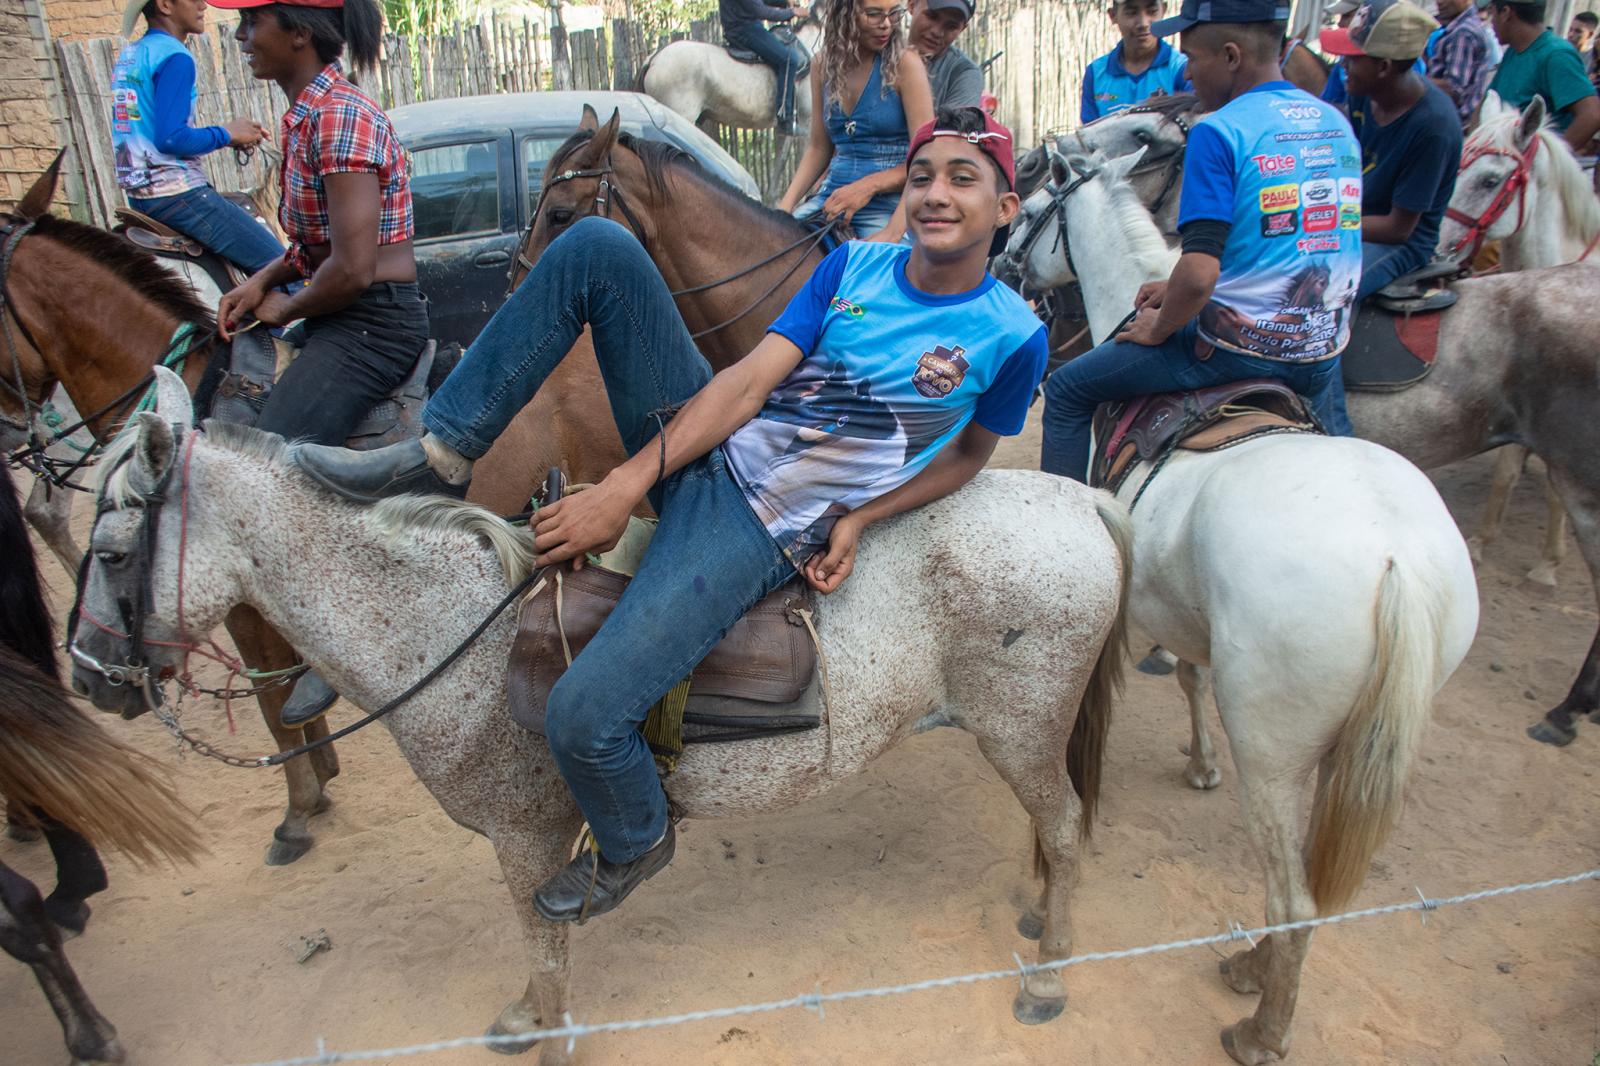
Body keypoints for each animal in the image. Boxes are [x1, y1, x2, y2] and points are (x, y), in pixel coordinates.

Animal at [68, 369, 1132, 1056]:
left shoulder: (528, 842)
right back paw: (1039, 912)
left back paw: (1051, 972)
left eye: (114, 552)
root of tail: (1078, 501)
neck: (442, 622)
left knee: (1068, 826)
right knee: (1052, 828)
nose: (86, 676)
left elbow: (549, 965)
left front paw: (543, 1034)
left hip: (1022, 727)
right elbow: (542, 966)